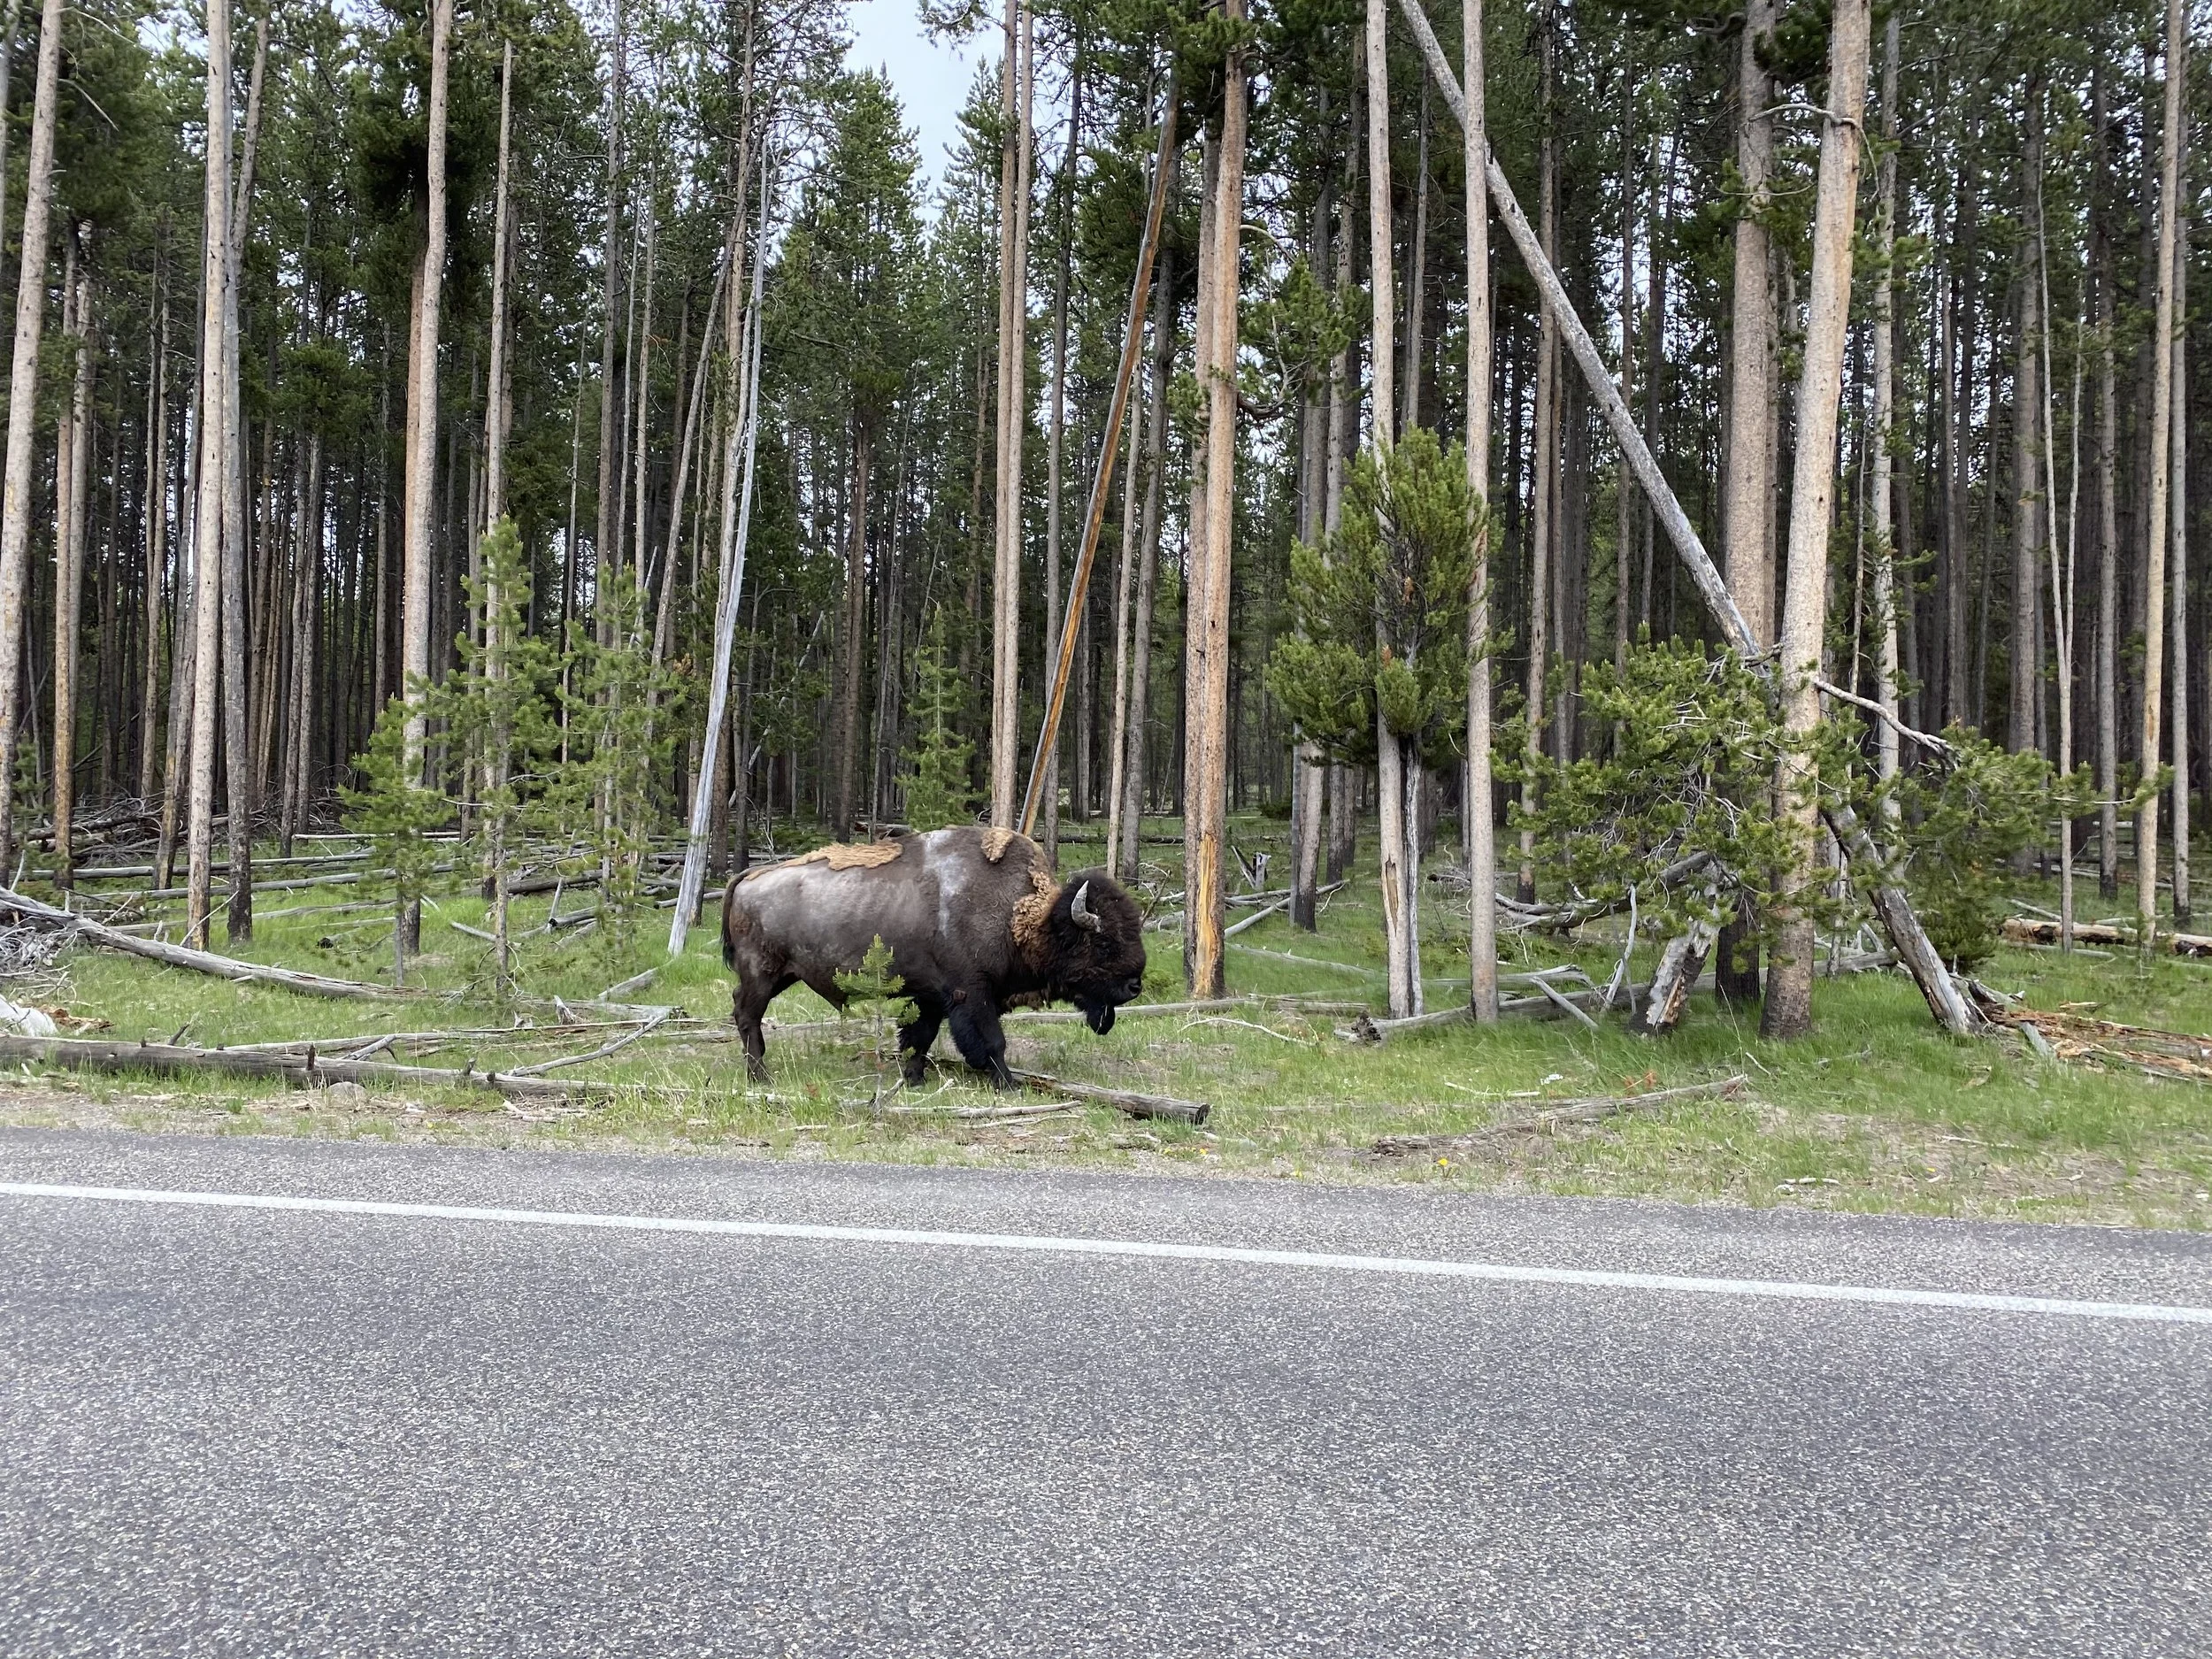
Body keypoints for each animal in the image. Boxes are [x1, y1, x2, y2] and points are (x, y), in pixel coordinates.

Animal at [721, 825, 1147, 1087]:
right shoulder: (971, 992)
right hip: (762, 972)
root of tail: (747, 877)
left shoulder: (931, 997)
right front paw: (1008, 1084)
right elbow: (992, 1042)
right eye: (1103, 944)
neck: (1019, 916)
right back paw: (760, 1076)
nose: (1134, 985)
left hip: (783, 974)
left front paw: (914, 1079)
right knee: (747, 1014)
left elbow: (920, 1038)